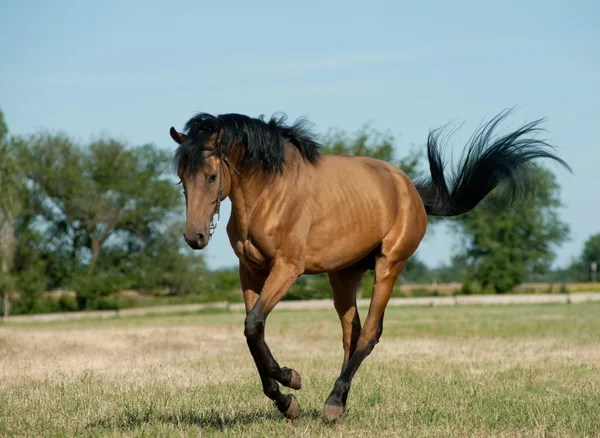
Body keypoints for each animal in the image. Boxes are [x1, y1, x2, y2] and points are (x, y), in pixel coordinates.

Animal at [170, 109, 572, 420]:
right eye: (181, 179)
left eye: (211, 176)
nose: (195, 237)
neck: (269, 194)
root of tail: (409, 188)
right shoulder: (251, 271)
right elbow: (254, 333)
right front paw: (287, 401)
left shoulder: (286, 268)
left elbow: (253, 326)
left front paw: (290, 379)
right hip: (342, 275)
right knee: (352, 335)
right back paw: (339, 402)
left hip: (388, 266)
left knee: (368, 335)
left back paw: (333, 404)